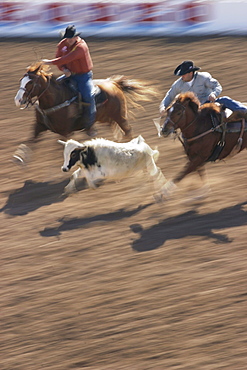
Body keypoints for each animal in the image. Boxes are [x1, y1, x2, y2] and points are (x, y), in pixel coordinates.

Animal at [13, 62, 157, 163]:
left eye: (30, 82)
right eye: (21, 80)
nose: (18, 100)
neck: (57, 99)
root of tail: (113, 83)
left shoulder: (65, 132)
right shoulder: (39, 126)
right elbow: (31, 141)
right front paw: (20, 157)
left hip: (120, 116)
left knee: (128, 131)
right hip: (105, 118)